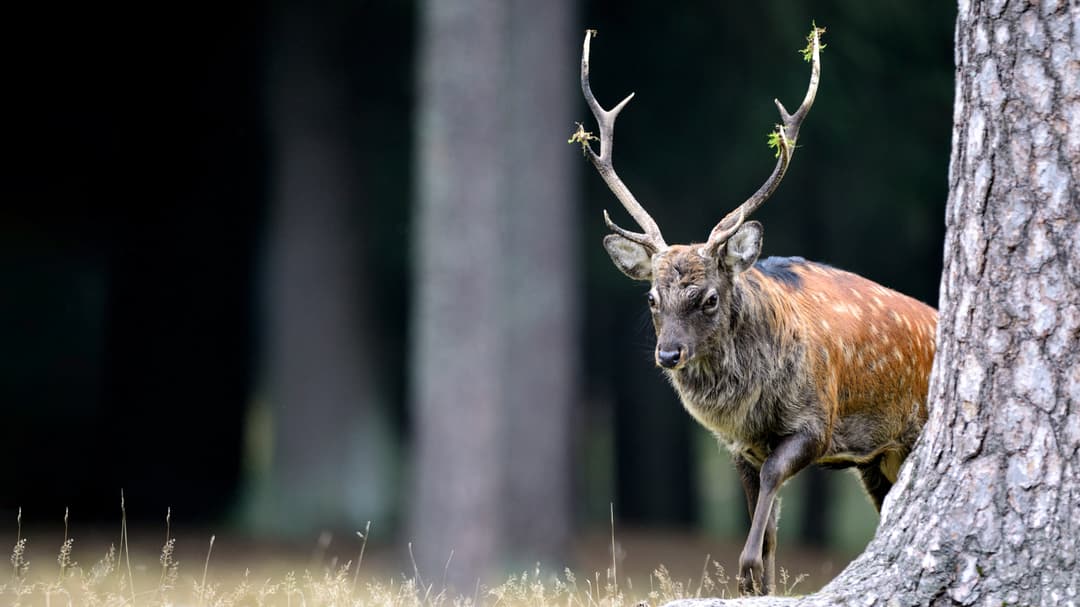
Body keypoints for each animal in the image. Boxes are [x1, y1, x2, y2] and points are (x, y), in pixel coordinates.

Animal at [574, 25, 937, 591]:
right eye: (652, 298)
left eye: (708, 297)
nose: (668, 355)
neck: (751, 408)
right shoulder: (738, 447)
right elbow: (761, 518)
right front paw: (756, 581)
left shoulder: (816, 422)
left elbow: (770, 486)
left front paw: (746, 571)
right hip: (878, 457)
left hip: (907, 434)